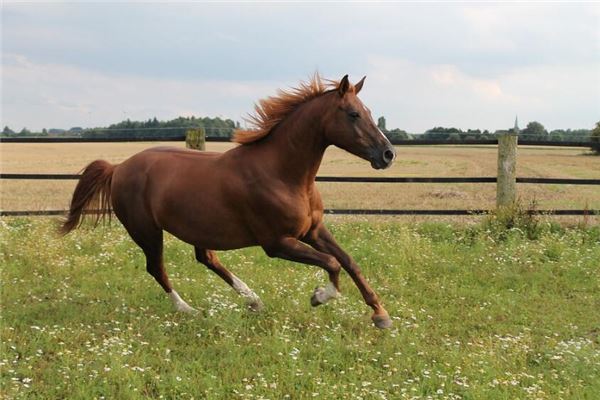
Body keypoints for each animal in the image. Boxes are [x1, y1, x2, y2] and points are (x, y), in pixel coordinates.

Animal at [62, 75, 398, 328]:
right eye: (353, 114)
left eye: (369, 111)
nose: (388, 154)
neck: (282, 174)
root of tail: (118, 168)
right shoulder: (277, 243)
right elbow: (332, 263)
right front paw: (319, 296)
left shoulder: (313, 230)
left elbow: (348, 261)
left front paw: (381, 315)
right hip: (146, 231)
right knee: (157, 268)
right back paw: (189, 310)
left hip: (197, 227)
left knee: (206, 259)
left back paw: (253, 300)